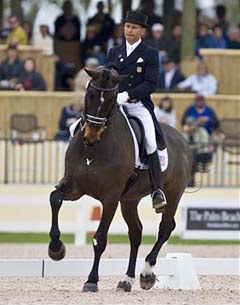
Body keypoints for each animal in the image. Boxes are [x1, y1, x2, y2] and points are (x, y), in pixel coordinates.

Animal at [48, 66, 193, 292]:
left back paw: (146, 274)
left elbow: (100, 239)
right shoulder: (74, 187)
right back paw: (127, 279)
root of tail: (183, 141)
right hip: (129, 200)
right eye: (90, 94)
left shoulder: (110, 198)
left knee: (165, 228)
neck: (94, 150)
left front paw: (91, 280)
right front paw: (56, 249)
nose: (90, 136)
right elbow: (55, 198)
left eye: (111, 99)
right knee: (136, 232)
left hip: (172, 194)